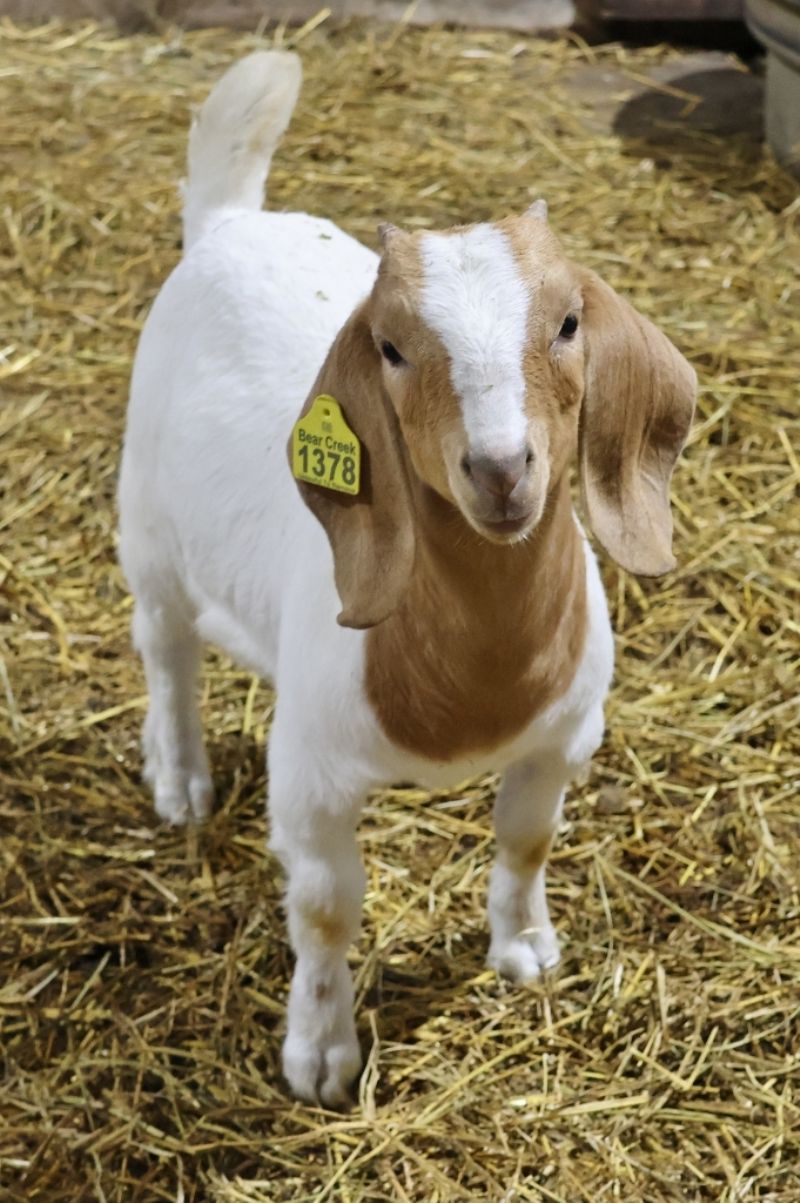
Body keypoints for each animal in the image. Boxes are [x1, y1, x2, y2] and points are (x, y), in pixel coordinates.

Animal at [118, 50, 696, 1105]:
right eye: (388, 346)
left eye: (568, 323)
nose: (501, 469)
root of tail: (229, 221)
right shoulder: (311, 777)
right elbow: (325, 909)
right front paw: (320, 1055)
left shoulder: (562, 736)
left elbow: (526, 839)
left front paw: (526, 949)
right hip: (145, 520)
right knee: (166, 649)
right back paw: (179, 778)